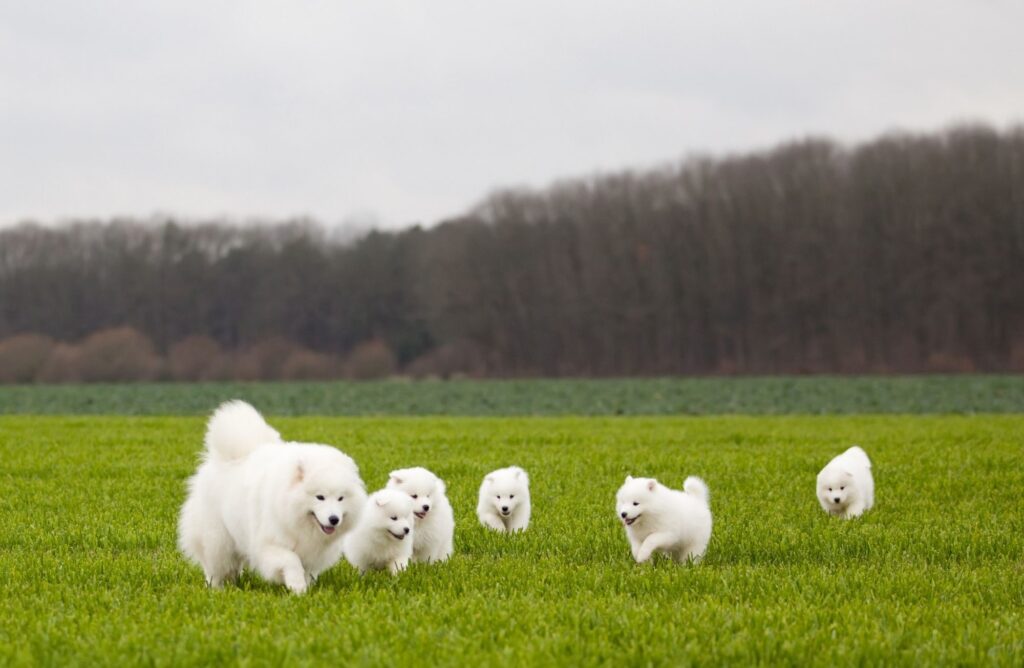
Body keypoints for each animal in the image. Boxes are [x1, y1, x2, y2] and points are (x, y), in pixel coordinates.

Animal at [178, 399, 366, 594]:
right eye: (320, 497)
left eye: (341, 498)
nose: (334, 519)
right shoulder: (269, 544)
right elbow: (291, 561)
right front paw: (297, 587)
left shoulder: (313, 553)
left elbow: (306, 569)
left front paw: (305, 587)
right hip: (218, 540)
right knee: (215, 567)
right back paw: (216, 589)